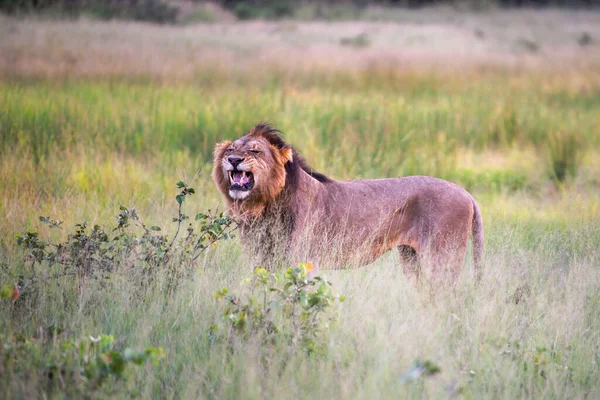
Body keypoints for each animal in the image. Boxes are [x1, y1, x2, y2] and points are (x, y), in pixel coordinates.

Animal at [212, 122, 482, 282]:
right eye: (231, 150)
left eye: (255, 151)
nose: (234, 160)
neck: (265, 206)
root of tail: (466, 193)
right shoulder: (261, 260)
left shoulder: (305, 261)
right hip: (411, 258)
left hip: (442, 258)